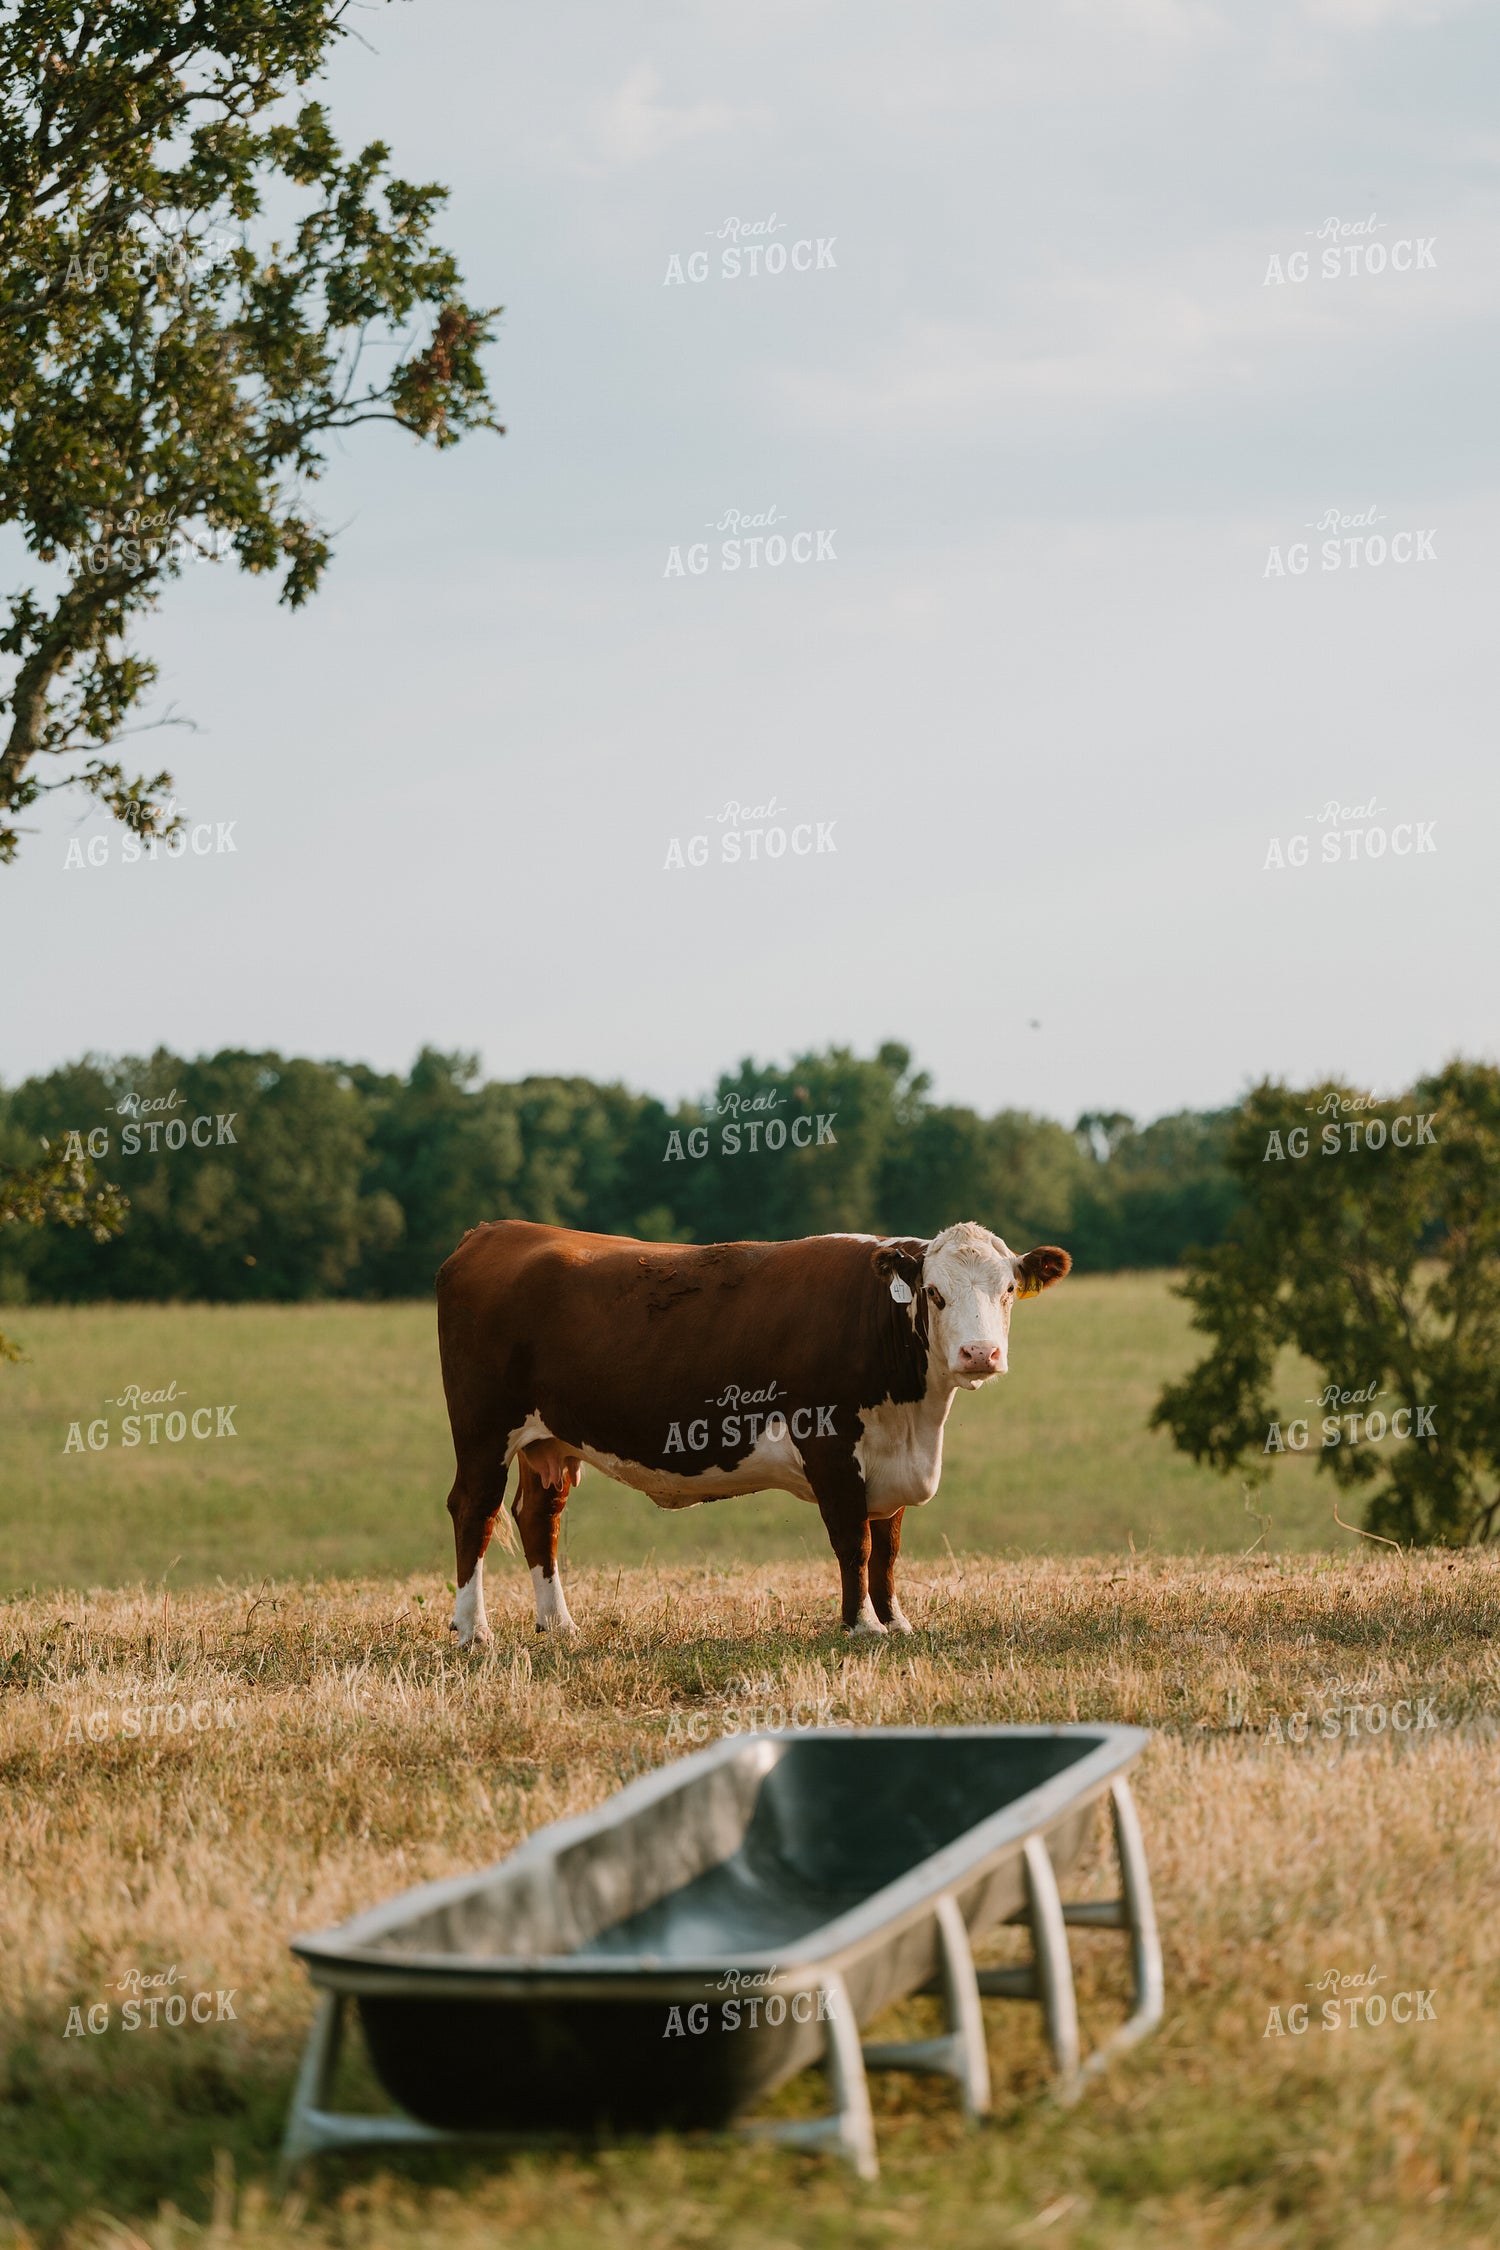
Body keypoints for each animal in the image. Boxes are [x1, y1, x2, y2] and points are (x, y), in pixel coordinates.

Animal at [436, 1219, 1070, 1643]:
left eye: (1007, 1291)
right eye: (934, 1294)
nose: (980, 1353)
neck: (915, 1419)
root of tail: (496, 1231)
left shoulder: (891, 1459)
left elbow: (887, 1549)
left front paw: (897, 1622)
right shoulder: (830, 1446)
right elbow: (855, 1542)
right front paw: (862, 1626)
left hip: (548, 1439)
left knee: (538, 1516)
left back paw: (559, 1625)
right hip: (483, 1430)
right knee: (475, 1511)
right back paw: (473, 1631)